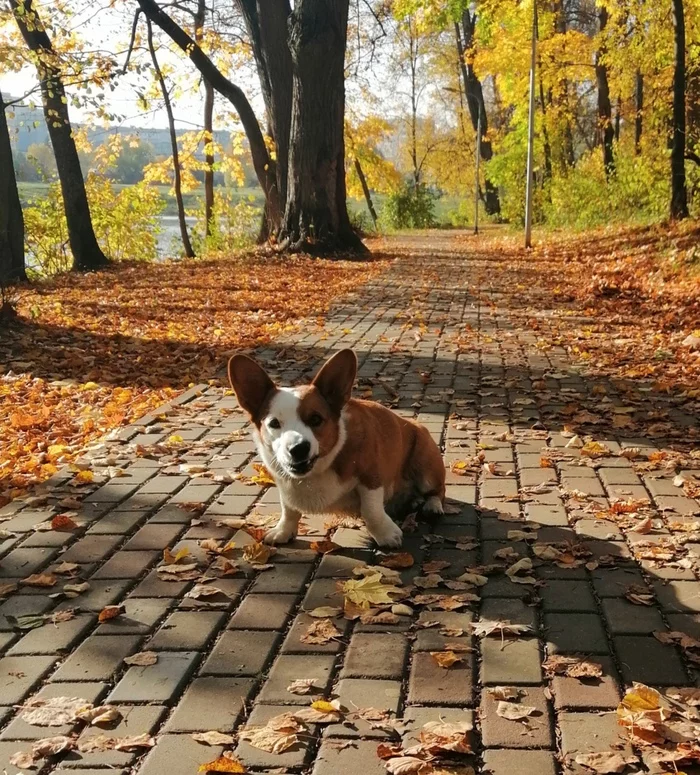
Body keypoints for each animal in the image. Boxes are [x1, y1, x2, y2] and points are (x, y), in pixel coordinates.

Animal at [227, 348, 446, 548]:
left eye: (316, 419)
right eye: (273, 423)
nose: (298, 449)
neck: (319, 469)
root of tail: (415, 424)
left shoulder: (371, 477)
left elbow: (371, 510)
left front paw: (386, 534)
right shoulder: (284, 485)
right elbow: (288, 509)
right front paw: (283, 531)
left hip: (426, 467)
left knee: (437, 491)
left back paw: (431, 505)